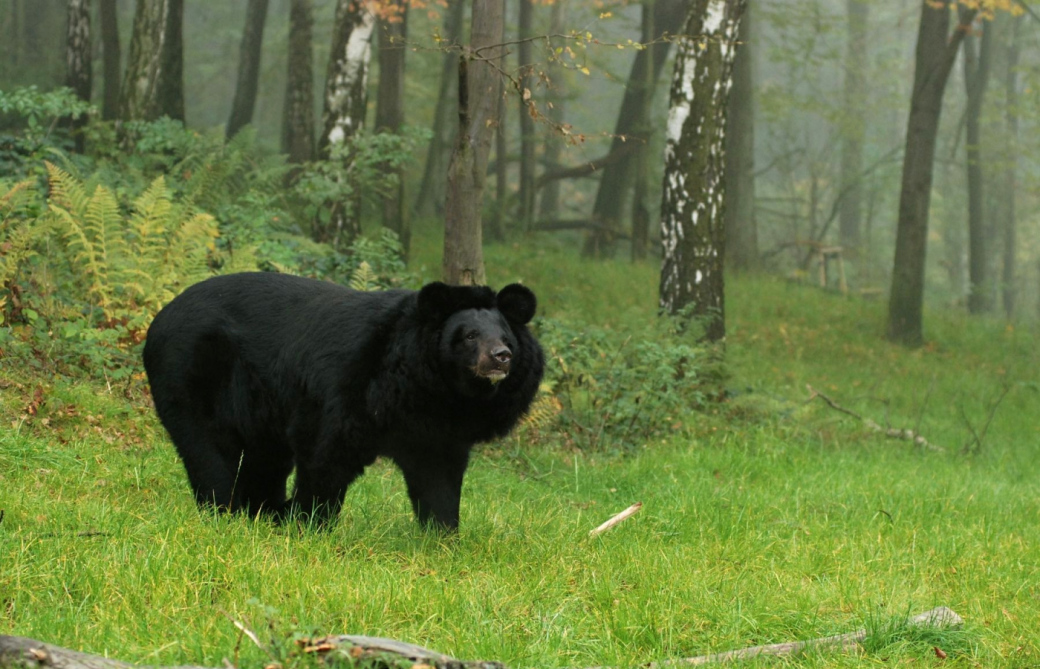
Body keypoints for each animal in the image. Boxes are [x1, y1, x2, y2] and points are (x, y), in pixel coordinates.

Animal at [140, 274, 544, 530]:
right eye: (470, 336)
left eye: (505, 336)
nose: (501, 357)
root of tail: (159, 318)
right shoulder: (347, 387)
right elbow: (325, 453)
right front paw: (309, 523)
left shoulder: (437, 426)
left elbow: (438, 477)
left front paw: (442, 535)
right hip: (192, 375)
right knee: (210, 450)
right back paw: (227, 512)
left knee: (261, 458)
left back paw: (261, 512)